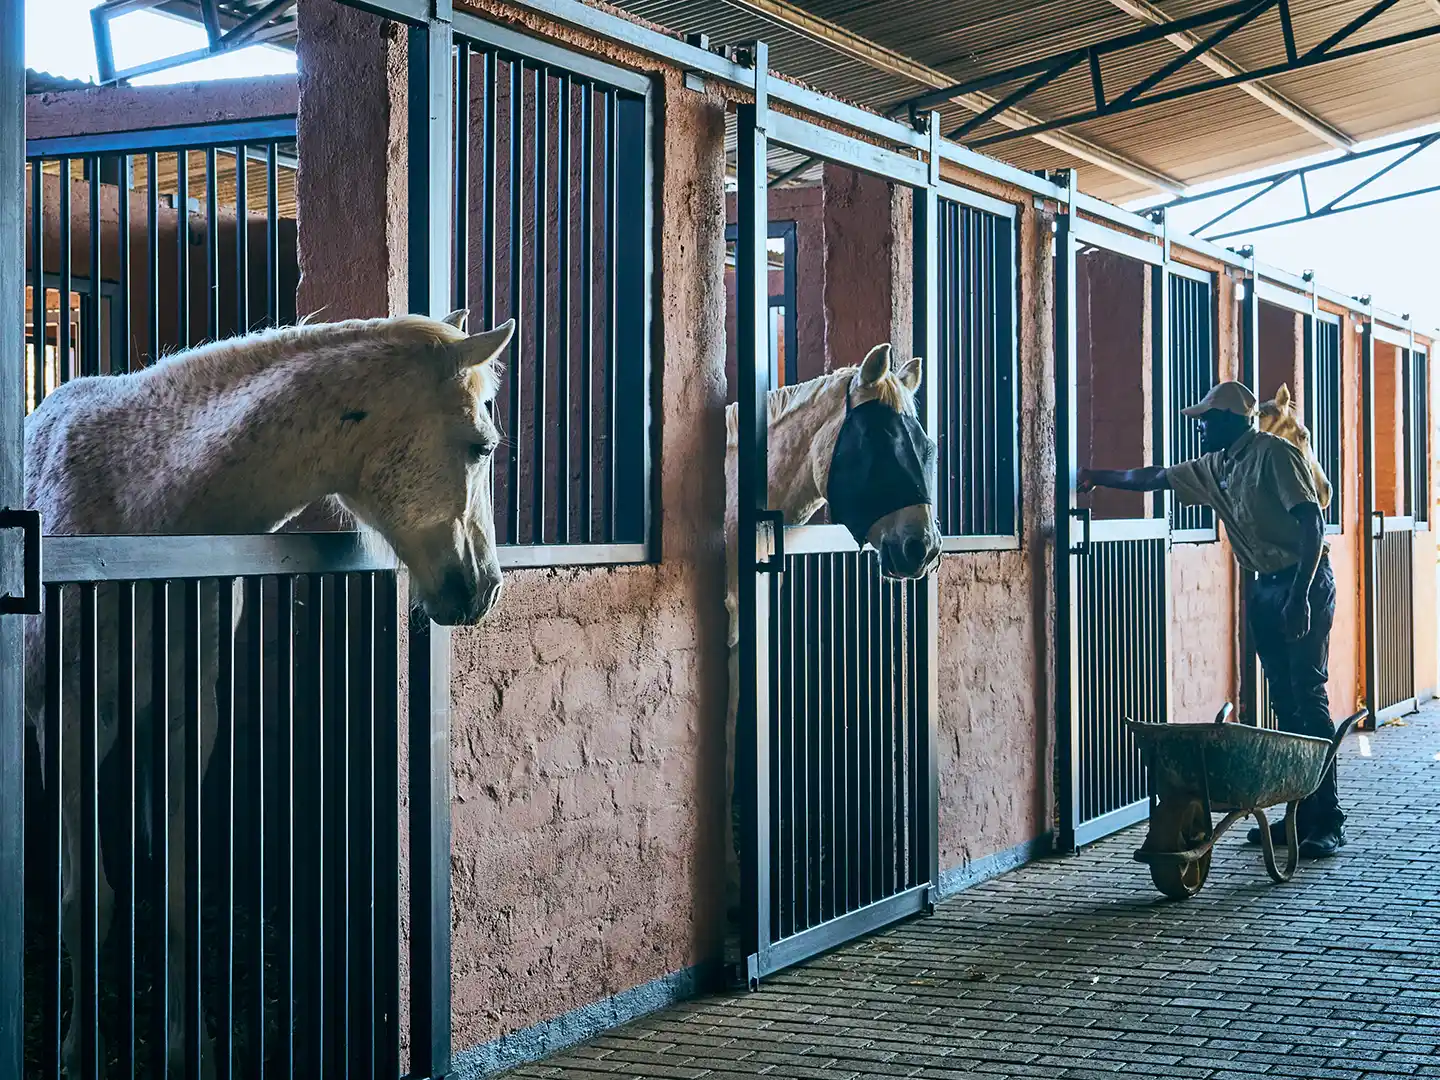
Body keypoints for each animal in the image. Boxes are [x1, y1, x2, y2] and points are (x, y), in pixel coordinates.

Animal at [24, 309, 515, 1077]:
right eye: (480, 446)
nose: (483, 589)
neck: (139, 501)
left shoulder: (189, 716)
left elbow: (181, 896)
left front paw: (187, 1045)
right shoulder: (69, 718)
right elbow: (84, 903)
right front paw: (77, 1051)